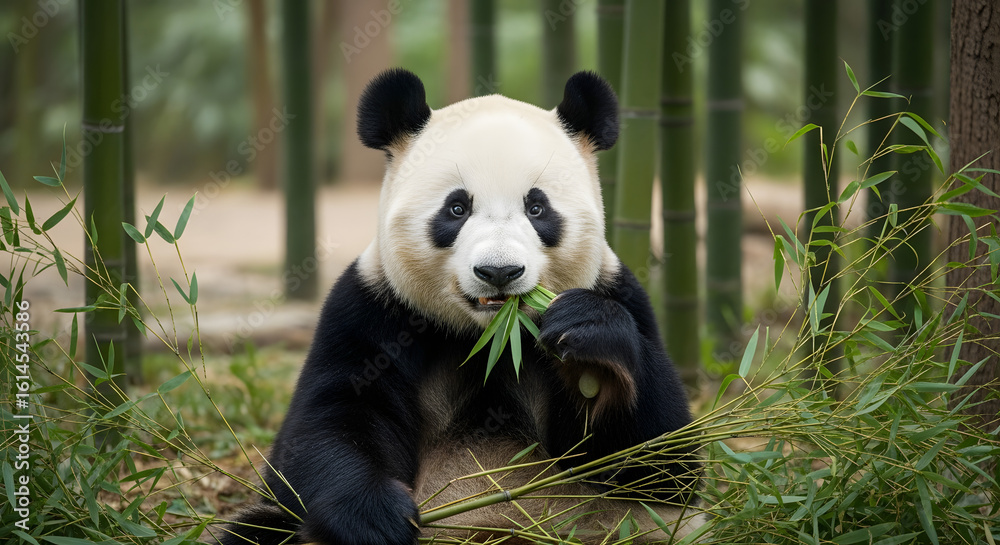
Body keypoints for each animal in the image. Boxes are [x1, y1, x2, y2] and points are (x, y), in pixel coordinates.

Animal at [217, 69, 702, 545]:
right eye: (456, 208)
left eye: (537, 207)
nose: (499, 271)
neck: (491, 335)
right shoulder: (370, 310)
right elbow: (324, 427)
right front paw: (376, 518)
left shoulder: (622, 294)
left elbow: (663, 467)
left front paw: (588, 339)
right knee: (260, 529)